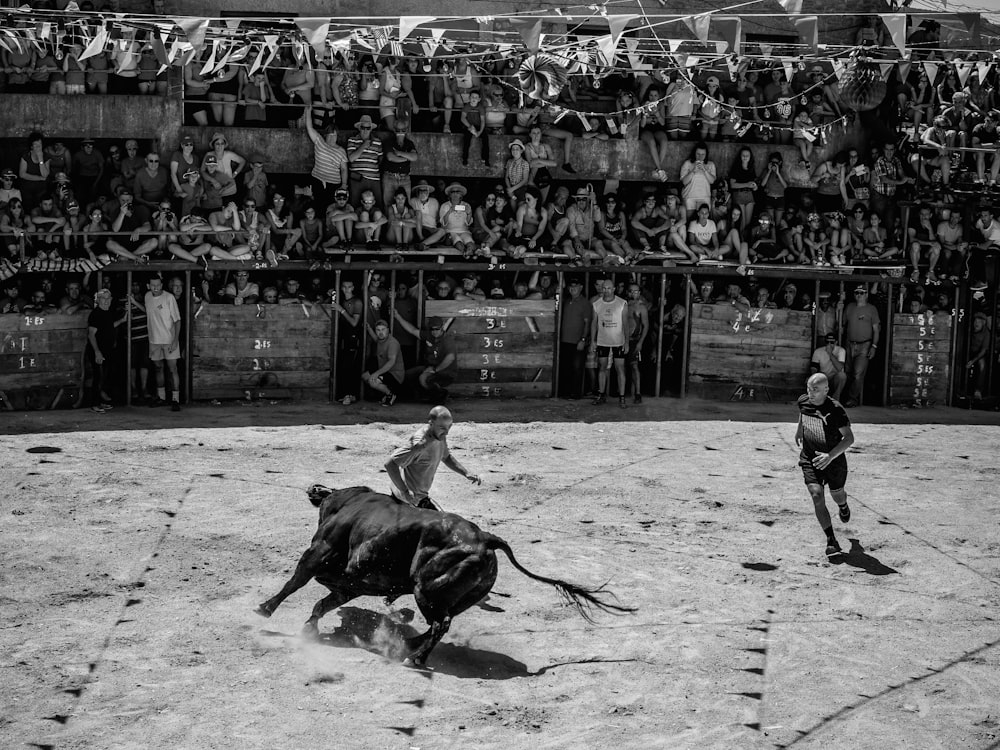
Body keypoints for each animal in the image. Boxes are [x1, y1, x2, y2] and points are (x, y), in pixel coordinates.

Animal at [258, 488, 632, 668]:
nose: (314, 490)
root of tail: (485, 539)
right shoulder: (351, 584)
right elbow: (324, 600)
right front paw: (309, 627)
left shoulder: (317, 553)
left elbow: (295, 582)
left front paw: (264, 609)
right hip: (453, 595)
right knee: (441, 623)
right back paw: (412, 646)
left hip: (426, 589)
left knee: (440, 623)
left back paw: (415, 658)